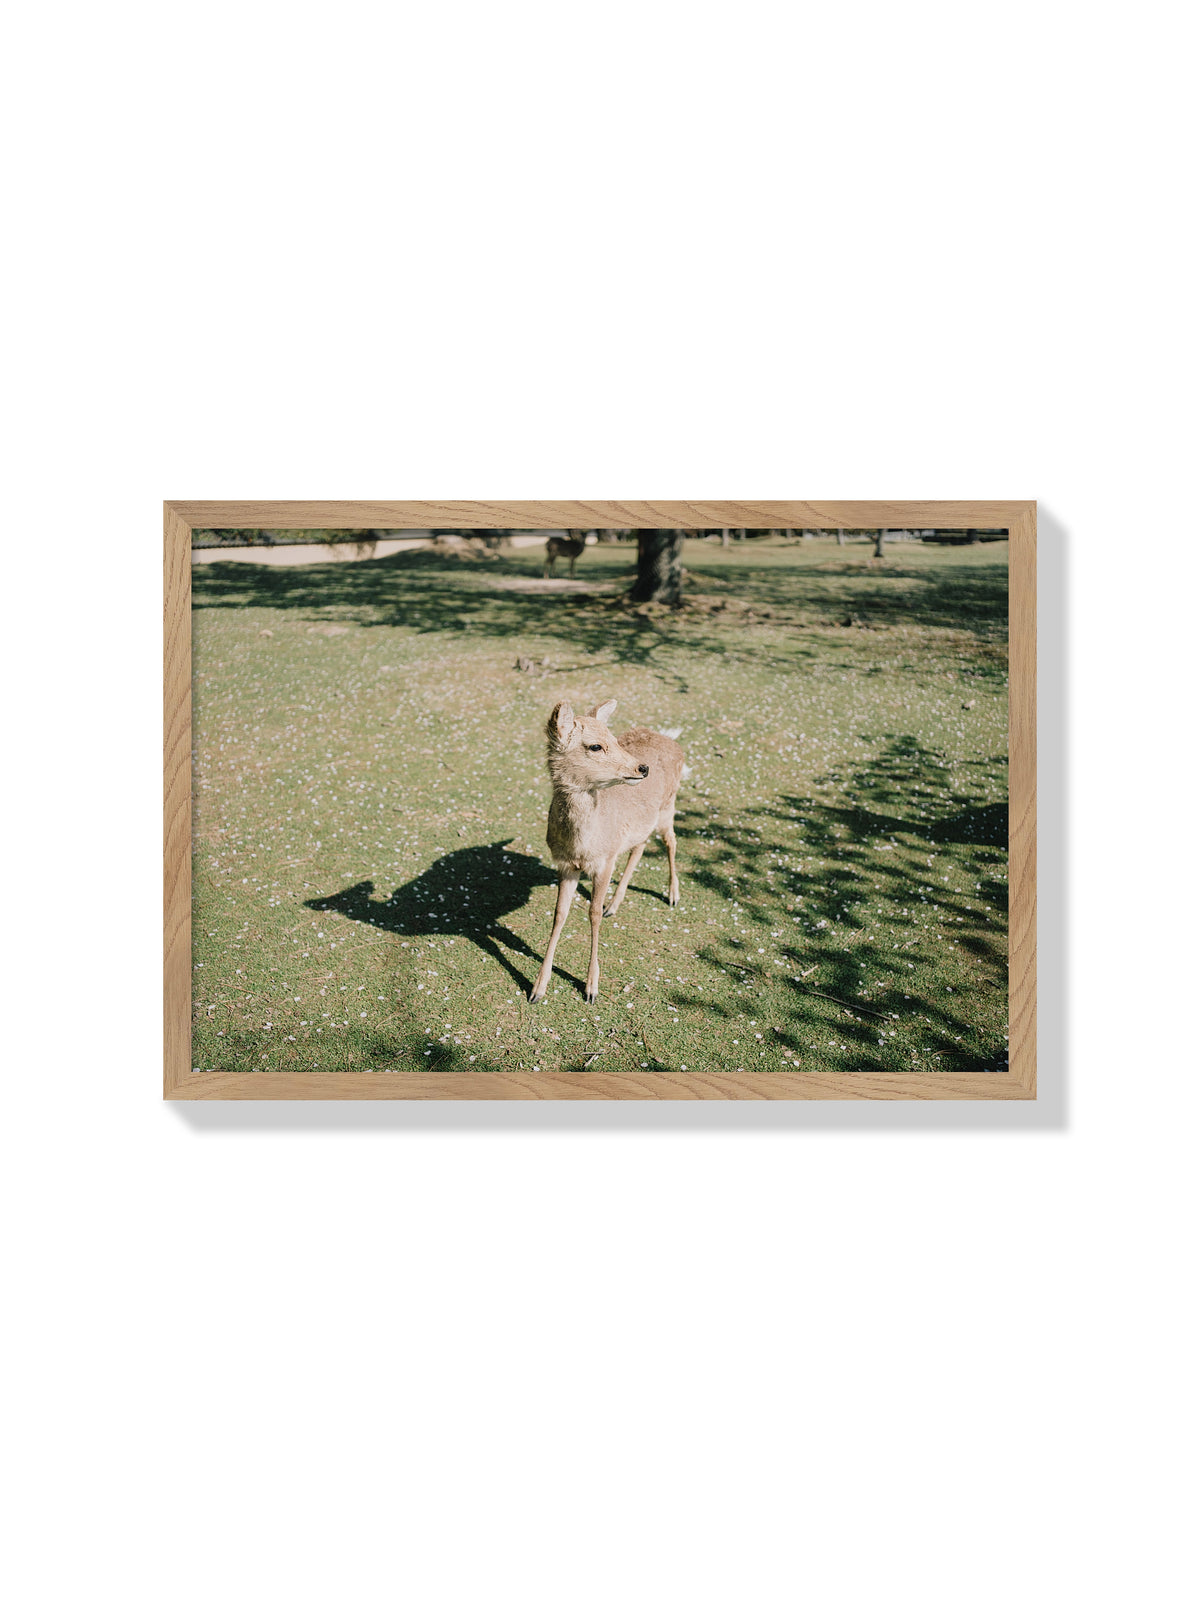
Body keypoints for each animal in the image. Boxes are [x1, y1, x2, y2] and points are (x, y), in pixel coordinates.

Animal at [530, 699, 684, 1004]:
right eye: (595, 746)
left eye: (614, 739)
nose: (642, 768)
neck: (583, 846)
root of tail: (674, 742)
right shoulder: (565, 865)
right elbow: (559, 914)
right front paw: (537, 988)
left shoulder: (605, 861)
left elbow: (593, 914)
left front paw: (591, 987)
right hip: (645, 821)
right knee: (640, 845)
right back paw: (615, 904)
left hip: (669, 805)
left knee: (671, 840)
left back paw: (672, 895)